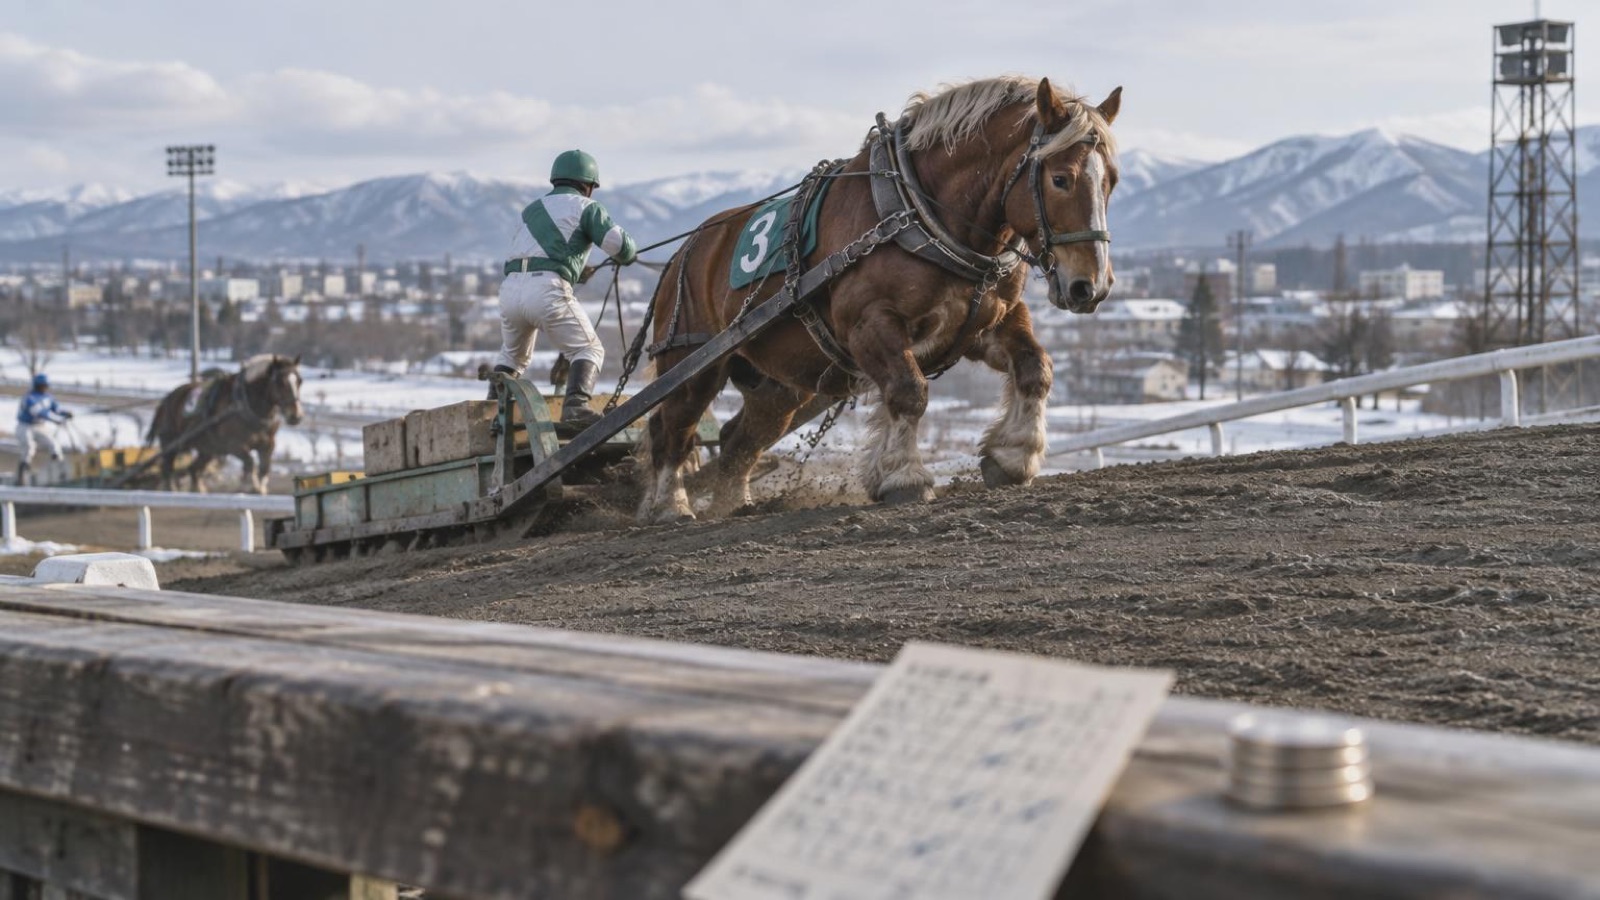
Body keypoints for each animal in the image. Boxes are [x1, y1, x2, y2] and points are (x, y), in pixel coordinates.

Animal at [146, 354, 305, 493]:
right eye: (280, 382)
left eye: (299, 381)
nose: (296, 416)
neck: (245, 403)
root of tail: (166, 400)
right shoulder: (234, 445)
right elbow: (250, 462)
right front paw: (250, 485)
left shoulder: (268, 444)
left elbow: (265, 468)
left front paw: (260, 488)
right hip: (170, 443)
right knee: (167, 469)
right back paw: (171, 489)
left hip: (208, 449)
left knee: (193, 469)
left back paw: (198, 489)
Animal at [636, 76, 1120, 524]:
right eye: (1060, 179)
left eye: (1111, 181)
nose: (1091, 286)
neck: (919, 212)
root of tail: (685, 251)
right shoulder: (870, 325)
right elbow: (909, 392)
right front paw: (904, 477)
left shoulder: (986, 323)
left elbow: (1035, 368)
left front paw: (1013, 456)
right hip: (694, 361)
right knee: (671, 426)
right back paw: (670, 505)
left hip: (775, 383)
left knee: (738, 437)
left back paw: (735, 502)